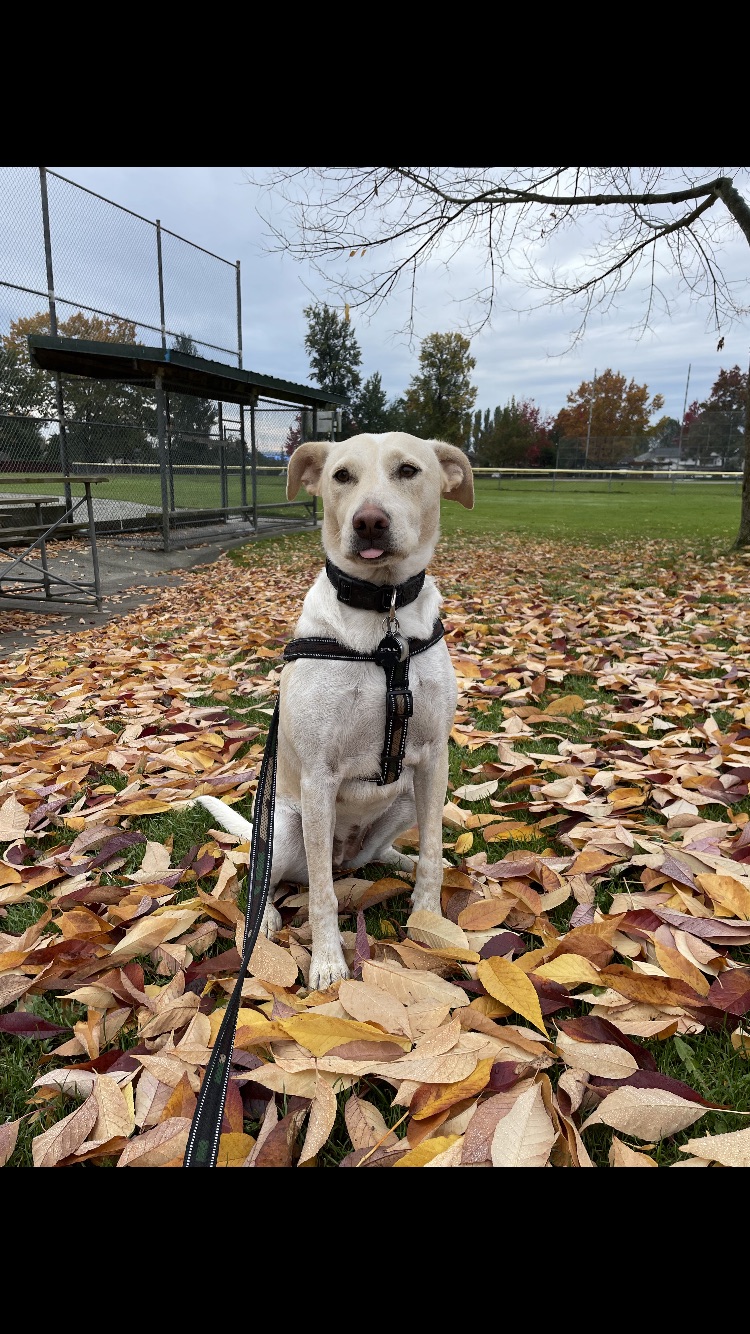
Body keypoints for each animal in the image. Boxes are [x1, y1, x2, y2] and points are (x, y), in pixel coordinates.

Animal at [195, 432, 474, 990]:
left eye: (408, 471)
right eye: (341, 476)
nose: (369, 521)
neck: (385, 618)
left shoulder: (435, 760)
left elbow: (433, 853)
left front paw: (428, 919)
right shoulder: (320, 777)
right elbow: (321, 894)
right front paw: (327, 962)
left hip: (406, 797)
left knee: (373, 855)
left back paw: (397, 859)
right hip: (283, 828)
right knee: (263, 878)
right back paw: (268, 916)